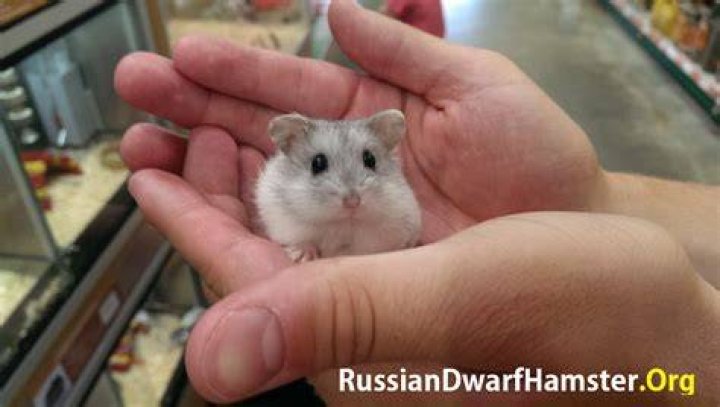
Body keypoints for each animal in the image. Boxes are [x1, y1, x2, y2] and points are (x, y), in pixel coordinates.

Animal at [255, 109, 422, 262]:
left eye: (370, 159)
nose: (353, 202)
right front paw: (301, 256)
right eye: (317, 163)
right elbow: (304, 241)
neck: (342, 224)